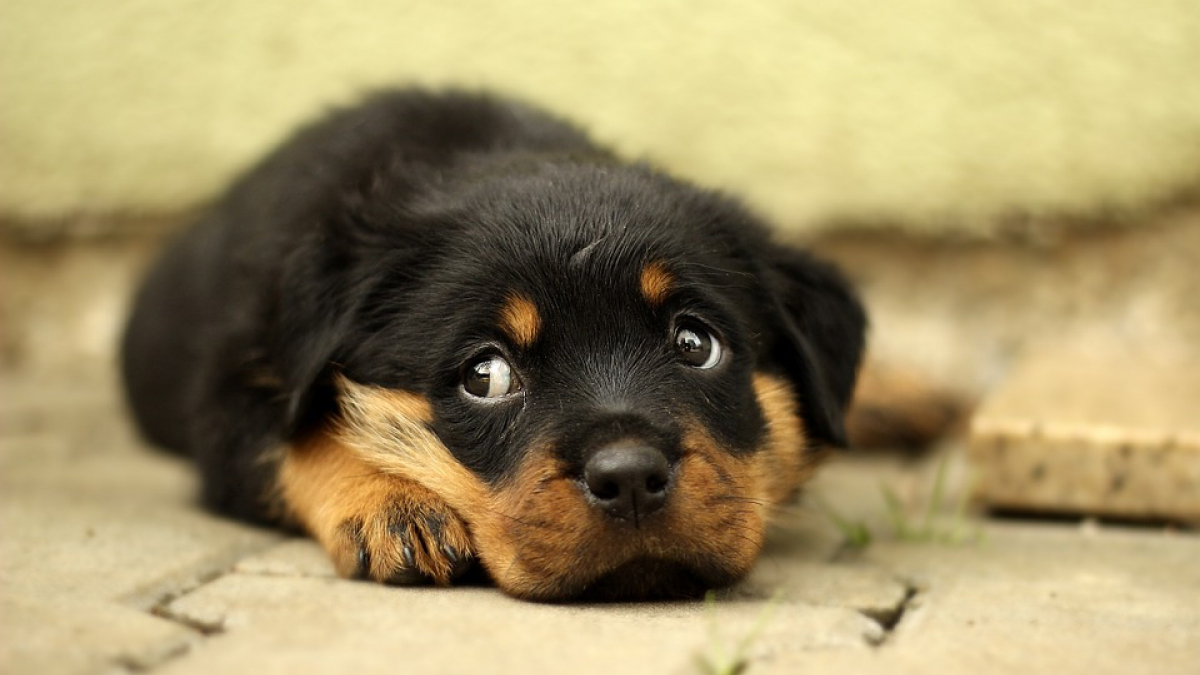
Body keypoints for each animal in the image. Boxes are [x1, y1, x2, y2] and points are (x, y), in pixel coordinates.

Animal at [121, 89, 868, 598]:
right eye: (486, 375)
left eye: (695, 343)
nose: (629, 477)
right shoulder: (236, 388)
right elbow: (298, 439)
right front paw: (390, 504)